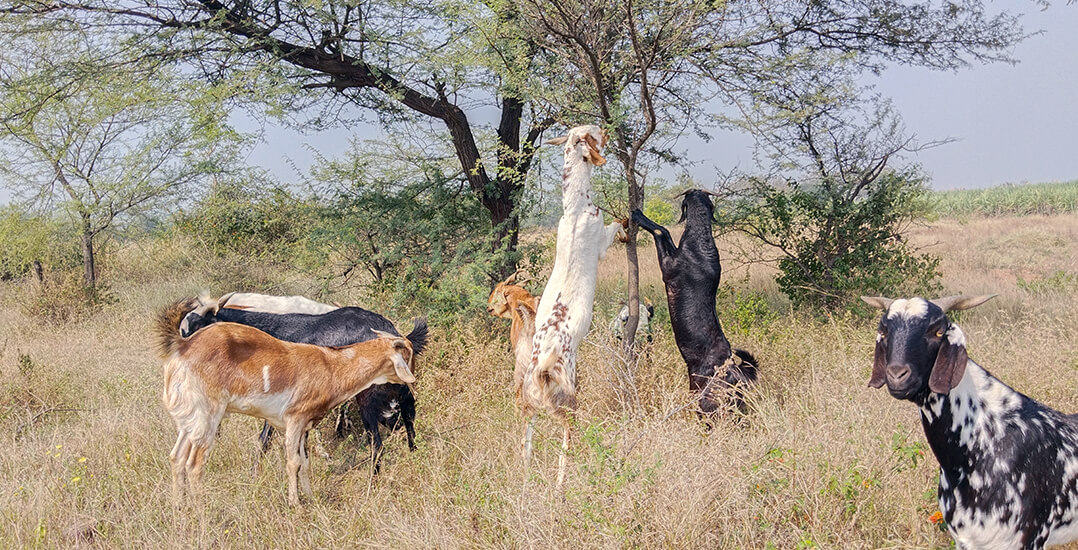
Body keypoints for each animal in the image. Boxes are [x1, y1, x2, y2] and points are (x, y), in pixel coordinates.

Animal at [156, 297, 416, 504]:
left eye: (200, 324)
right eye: (184, 328)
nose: (183, 352)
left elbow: (268, 443)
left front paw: (259, 478)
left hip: (371, 401)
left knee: (379, 442)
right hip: (397, 398)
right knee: (407, 424)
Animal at [523, 123, 629, 485]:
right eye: (595, 134)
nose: (609, 128)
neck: (575, 209)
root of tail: (543, 366)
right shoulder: (601, 241)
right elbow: (616, 225)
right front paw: (628, 223)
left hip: (530, 402)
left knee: (528, 439)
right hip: (568, 398)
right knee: (566, 438)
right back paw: (561, 481)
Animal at [629, 188, 758, 420]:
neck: (701, 241)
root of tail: (734, 371)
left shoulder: (668, 266)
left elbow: (660, 231)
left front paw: (638, 214)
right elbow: (666, 232)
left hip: (705, 403)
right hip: (735, 405)